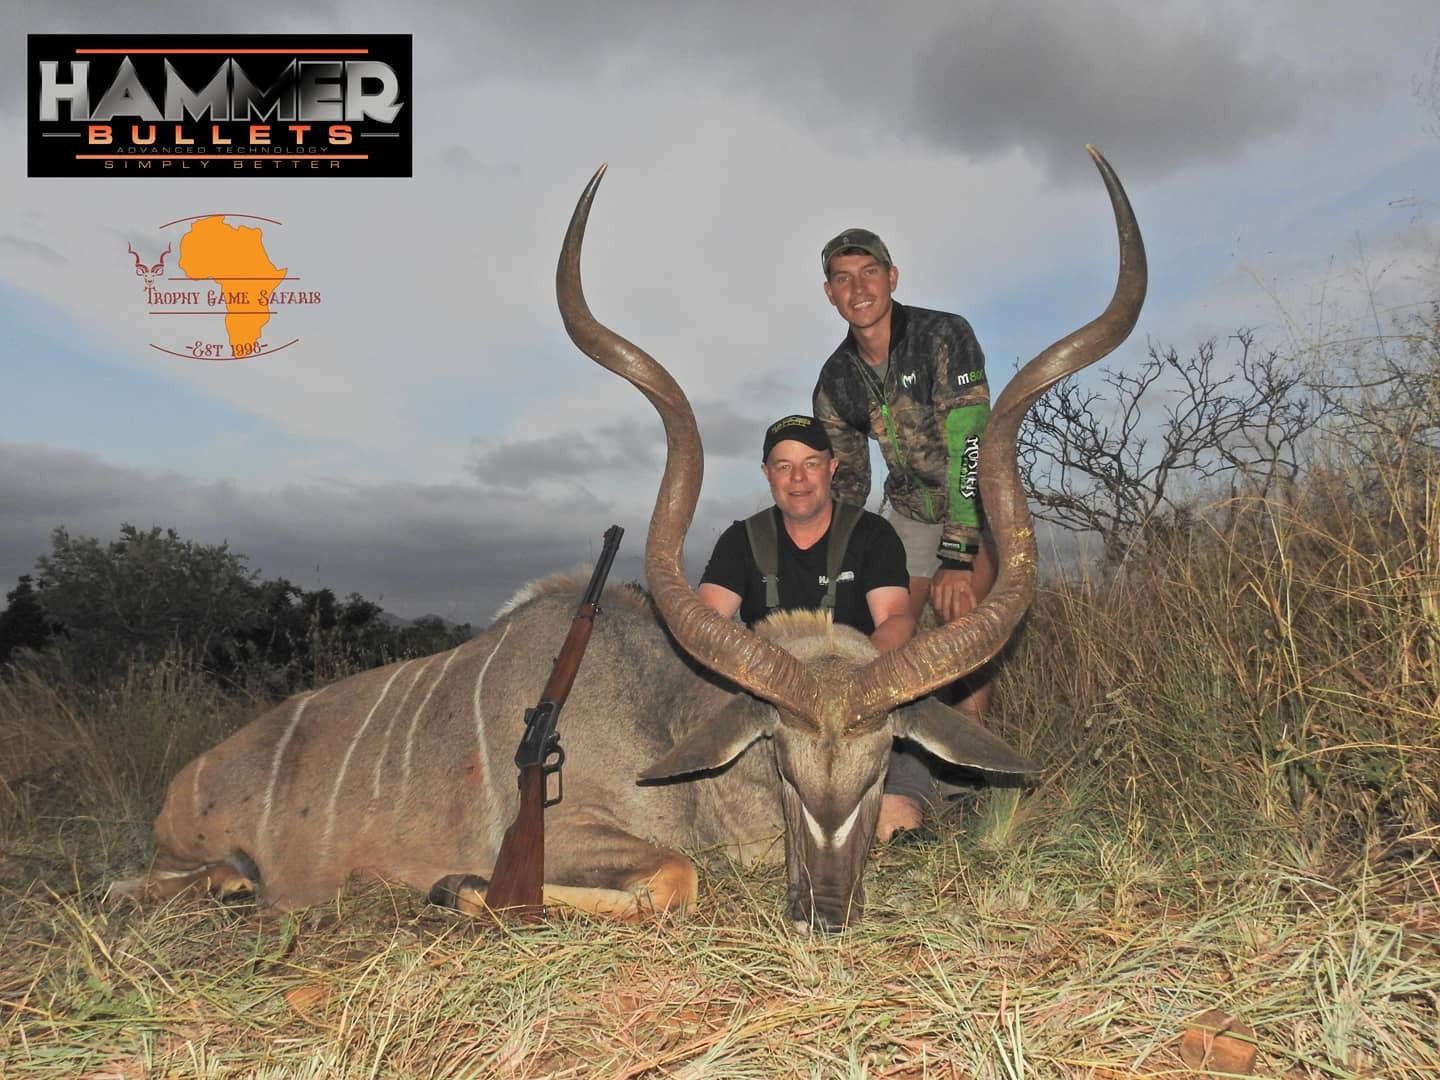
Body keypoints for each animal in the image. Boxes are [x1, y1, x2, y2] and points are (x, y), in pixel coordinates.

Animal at [114, 147, 1145, 930]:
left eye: (881, 757)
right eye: (779, 758)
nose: (822, 909)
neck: (665, 711)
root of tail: (187, 780)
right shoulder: (572, 834)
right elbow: (670, 876)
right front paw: (457, 887)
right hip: (171, 858)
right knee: (138, 884)